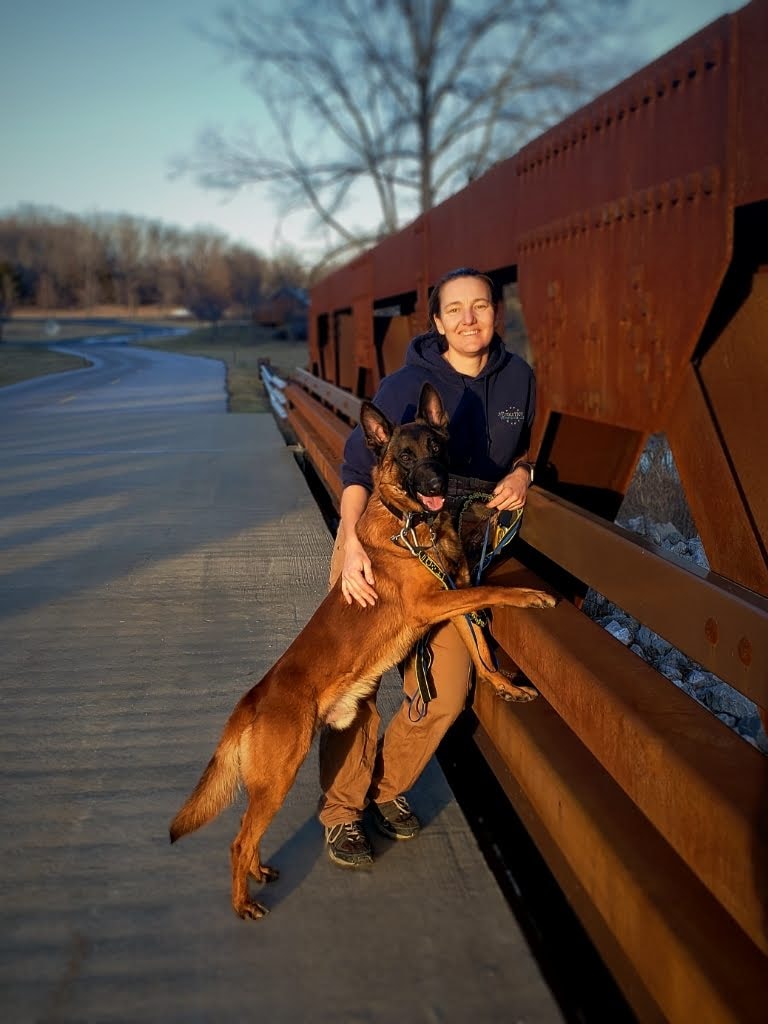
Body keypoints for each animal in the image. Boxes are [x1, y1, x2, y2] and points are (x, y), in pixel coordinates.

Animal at [169, 382, 552, 921]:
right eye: (404, 456)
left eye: (436, 446)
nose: (435, 479)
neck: (411, 522)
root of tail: (253, 698)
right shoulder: (435, 600)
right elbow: (494, 593)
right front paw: (531, 596)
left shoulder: (452, 596)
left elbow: (480, 648)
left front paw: (504, 685)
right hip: (279, 776)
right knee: (238, 840)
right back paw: (244, 901)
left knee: (250, 838)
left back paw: (259, 872)